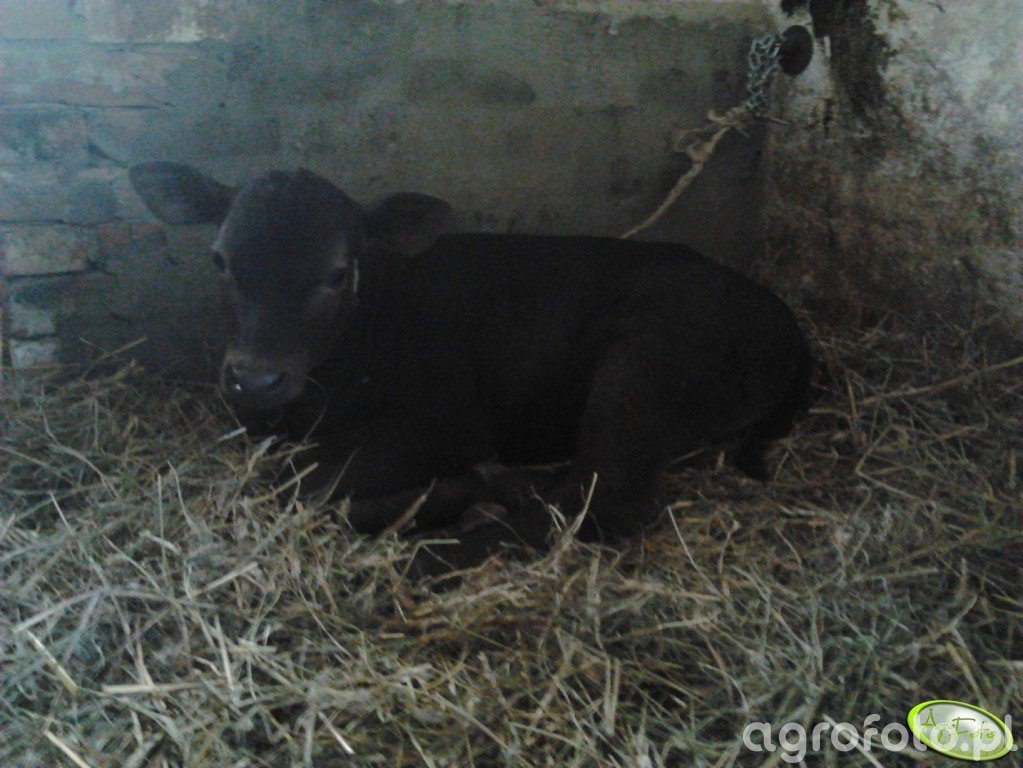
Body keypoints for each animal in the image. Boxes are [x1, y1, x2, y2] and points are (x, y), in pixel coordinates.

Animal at [129, 162, 813, 575]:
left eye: (336, 273)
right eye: (219, 259)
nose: (255, 377)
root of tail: (784, 321)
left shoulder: (445, 423)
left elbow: (301, 488)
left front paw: (451, 493)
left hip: (644, 363)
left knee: (604, 499)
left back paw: (445, 544)